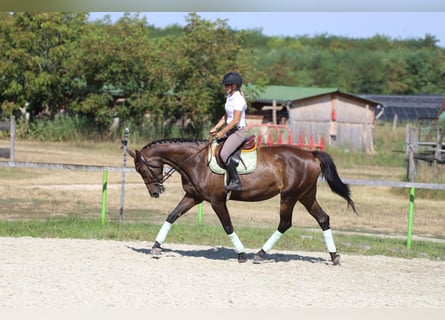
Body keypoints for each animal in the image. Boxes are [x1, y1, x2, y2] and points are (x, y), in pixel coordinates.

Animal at [126, 138, 356, 264]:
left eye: (142, 169)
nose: (155, 193)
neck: (196, 161)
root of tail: (310, 154)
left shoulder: (217, 201)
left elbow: (227, 226)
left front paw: (241, 254)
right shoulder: (193, 197)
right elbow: (172, 215)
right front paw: (156, 247)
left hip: (289, 196)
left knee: (285, 223)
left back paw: (260, 254)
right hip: (306, 195)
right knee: (323, 218)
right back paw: (334, 256)